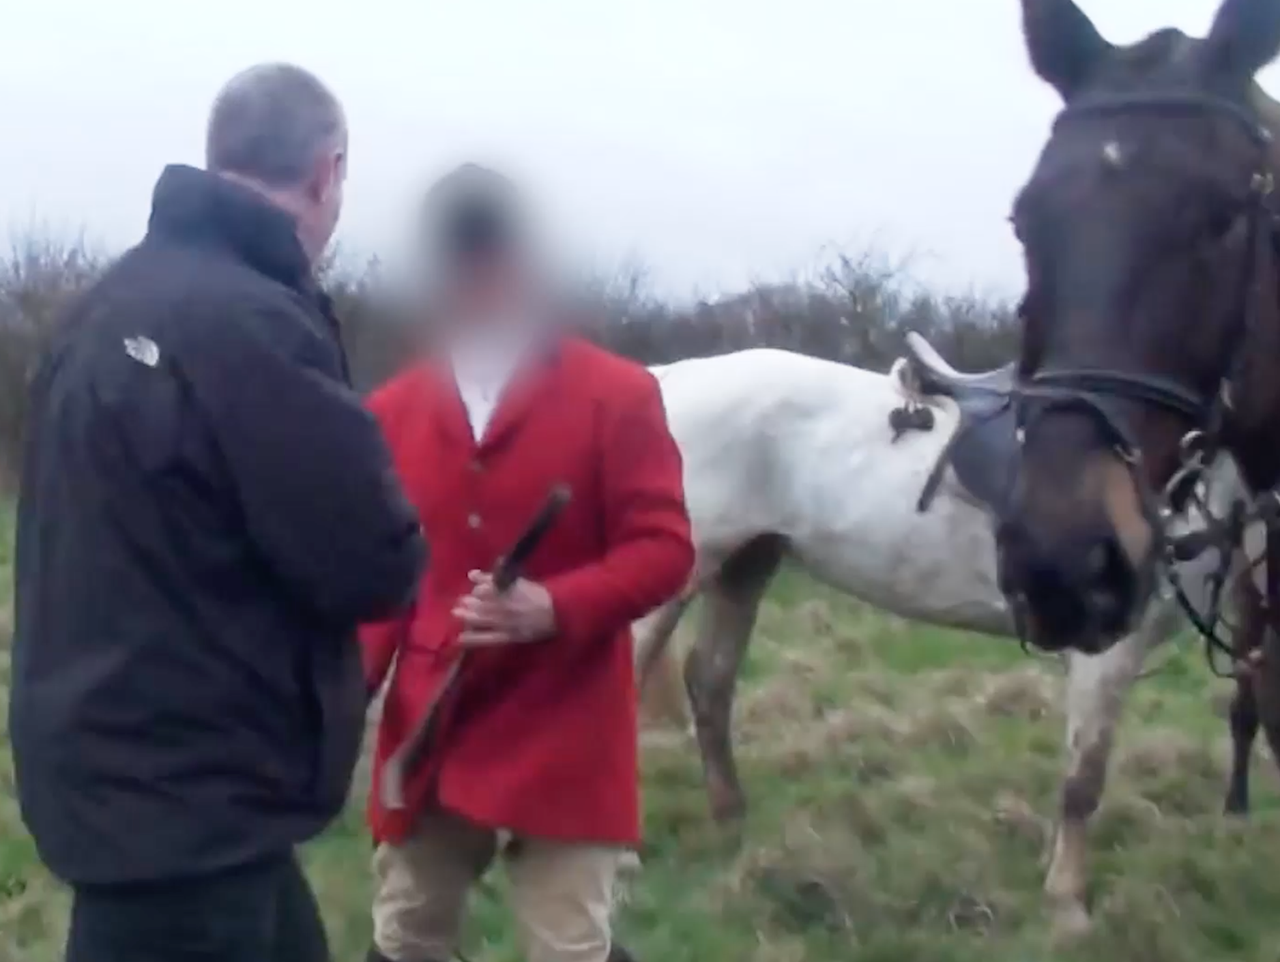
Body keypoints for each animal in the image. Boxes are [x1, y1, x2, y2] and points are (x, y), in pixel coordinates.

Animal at [634, 342, 1233, 931]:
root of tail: (671, 377)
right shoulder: (1106, 654)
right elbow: (1084, 781)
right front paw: (1068, 905)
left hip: (746, 563)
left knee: (710, 683)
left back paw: (731, 822)